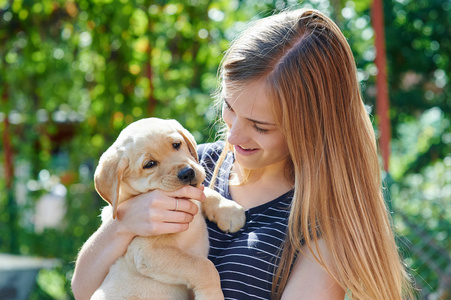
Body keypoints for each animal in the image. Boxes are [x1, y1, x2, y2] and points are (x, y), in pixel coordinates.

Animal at [90, 118, 245, 300]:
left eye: (176, 145)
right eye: (149, 164)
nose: (187, 173)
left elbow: (203, 192)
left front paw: (229, 211)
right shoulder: (145, 251)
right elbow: (203, 266)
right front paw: (212, 295)